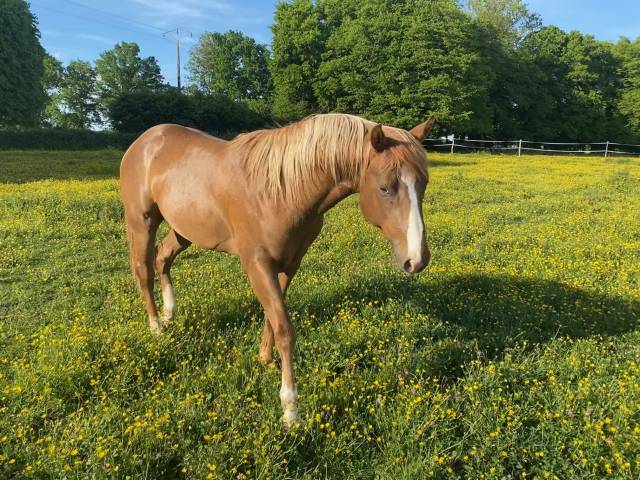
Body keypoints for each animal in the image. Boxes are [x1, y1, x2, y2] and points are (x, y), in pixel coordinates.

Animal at [119, 113, 435, 426]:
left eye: (423, 184)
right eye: (385, 187)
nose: (416, 260)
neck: (280, 192)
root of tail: (145, 141)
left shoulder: (290, 263)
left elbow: (272, 317)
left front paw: (264, 358)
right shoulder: (257, 264)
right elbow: (284, 328)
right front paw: (290, 409)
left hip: (184, 229)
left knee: (163, 259)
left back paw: (169, 313)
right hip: (142, 222)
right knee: (144, 270)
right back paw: (156, 327)